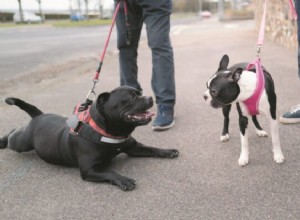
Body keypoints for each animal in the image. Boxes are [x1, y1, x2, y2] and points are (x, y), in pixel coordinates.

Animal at [0, 86, 178, 191]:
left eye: (139, 93)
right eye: (131, 97)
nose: (150, 98)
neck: (107, 131)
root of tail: (38, 116)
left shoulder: (133, 148)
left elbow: (152, 149)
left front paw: (168, 151)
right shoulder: (90, 170)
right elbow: (110, 172)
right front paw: (124, 180)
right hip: (21, 143)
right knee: (13, 134)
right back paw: (2, 141)